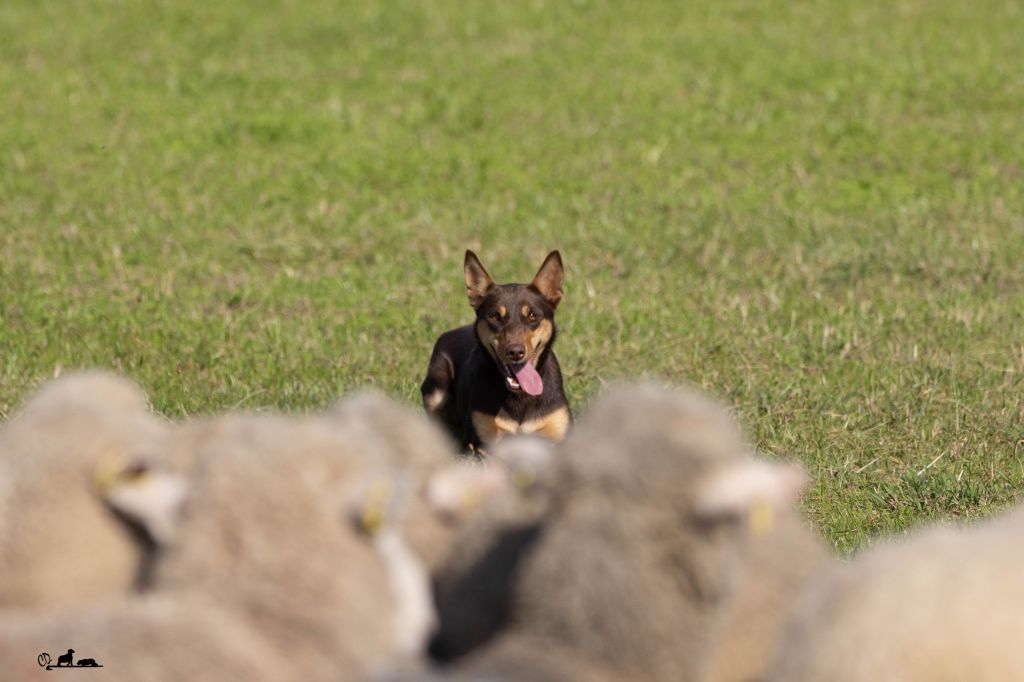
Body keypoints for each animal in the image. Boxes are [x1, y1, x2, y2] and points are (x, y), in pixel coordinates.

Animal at [419, 246, 573, 454]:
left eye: (533, 315)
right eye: (494, 316)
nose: (515, 352)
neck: (520, 396)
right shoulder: (483, 445)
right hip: (436, 386)